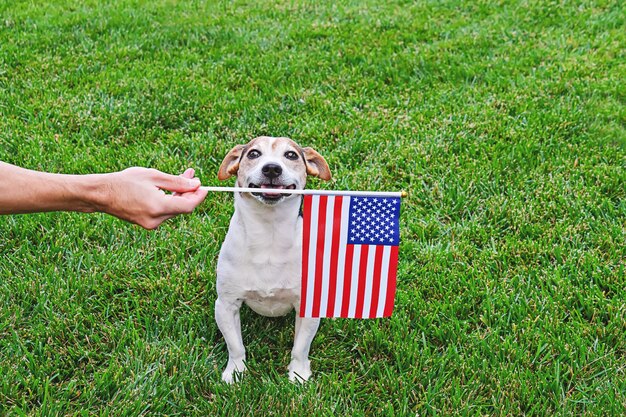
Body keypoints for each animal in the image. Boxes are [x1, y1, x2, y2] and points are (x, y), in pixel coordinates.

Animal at [214, 135, 332, 382]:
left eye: (291, 155)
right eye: (253, 154)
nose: (271, 168)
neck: (269, 233)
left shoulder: (306, 306)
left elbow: (300, 348)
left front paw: (298, 374)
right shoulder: (225, 305)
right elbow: (235, 346)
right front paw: (235, 373)